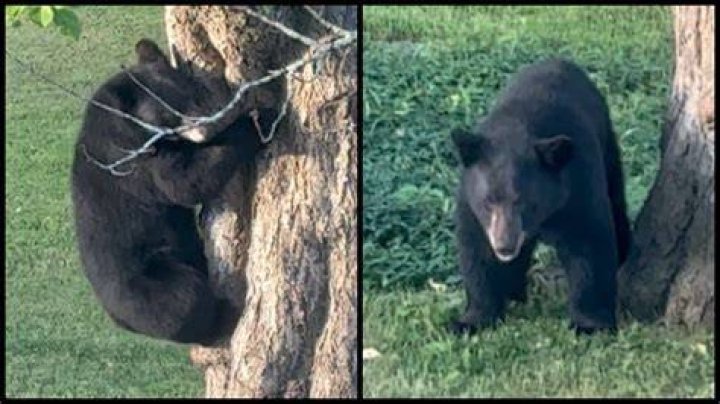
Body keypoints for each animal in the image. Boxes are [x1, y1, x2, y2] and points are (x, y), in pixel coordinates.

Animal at [71, 39, 277, 345]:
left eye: (195, 92)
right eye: (171, 111)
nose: (211, 119)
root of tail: (117, 318)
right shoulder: (132, 159)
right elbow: (184, 182)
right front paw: (258, 119)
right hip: (147, 284)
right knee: (185, 302)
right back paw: (225, 313)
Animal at [449, 58, 630, 335]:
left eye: (524, 202)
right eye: (488, 202)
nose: (504, 245)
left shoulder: (577, 185)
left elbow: (590, 242)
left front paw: (589, 324)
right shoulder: (470, 201)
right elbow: (476, 251)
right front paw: (472, 319)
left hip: (608, 144)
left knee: (617, 201)